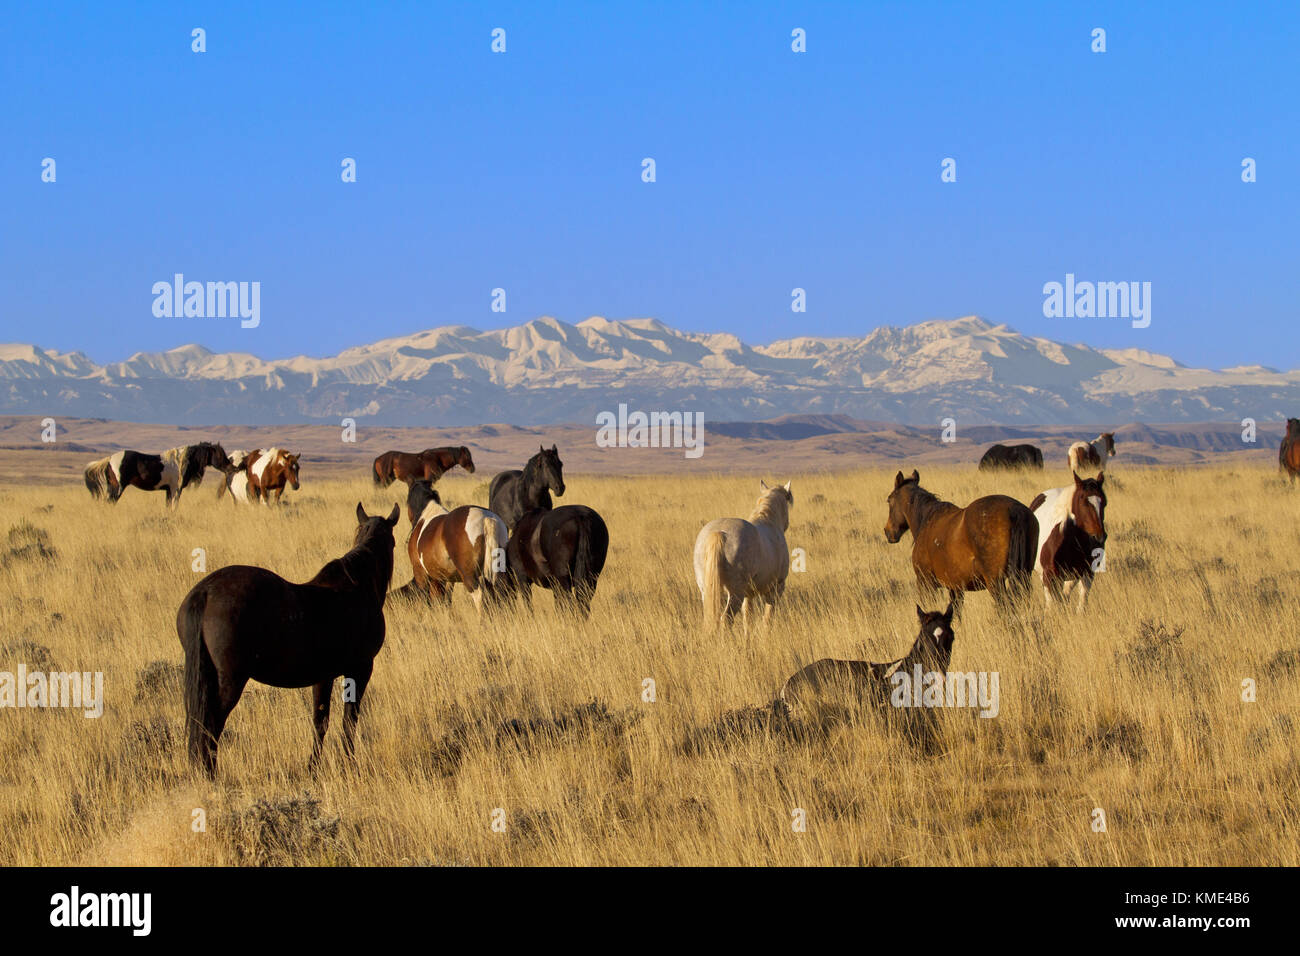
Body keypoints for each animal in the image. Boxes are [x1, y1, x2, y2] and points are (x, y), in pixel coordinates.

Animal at [176, 502, 400, 777]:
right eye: (393, 542)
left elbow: (320, 720)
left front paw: (313, 767)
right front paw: (349, 764)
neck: (357, 587)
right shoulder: (359, 670)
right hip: (230, 681)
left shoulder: (324, 676)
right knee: (211, 726)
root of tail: (205, 592)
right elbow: (349, 721)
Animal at [392, 480, 508, 614]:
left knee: (479, 597)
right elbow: (445, 601)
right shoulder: (446, 579)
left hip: (469, 576)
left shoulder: (422, 574)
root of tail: (486, 519)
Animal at [693, 480, 793, 634]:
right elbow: (767, 619)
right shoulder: (776, 589)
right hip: (735, 593)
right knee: (726, 619)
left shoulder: (749, 594)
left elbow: (748, 620)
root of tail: (720, 532)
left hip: (708, 590)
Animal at [883, 470, 1037, 615]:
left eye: (889, 500)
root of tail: (1014, 510)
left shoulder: (926, 583)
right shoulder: (955, 588)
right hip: (1023, 577)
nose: (888, 532)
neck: (927, 521)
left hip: (996, 583)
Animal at [1029, 472, 1108, 609]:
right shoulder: (1049, 576)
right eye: (1083, 502)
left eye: (1104, 503)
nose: (1099, 537)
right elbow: (1052, 604)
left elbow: (1081, 604)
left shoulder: (1087, 574)